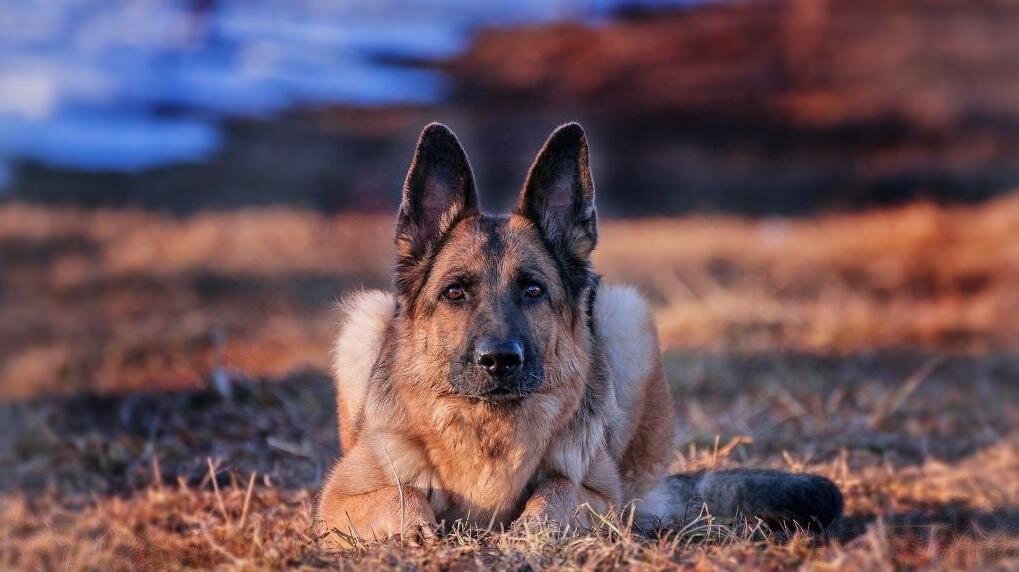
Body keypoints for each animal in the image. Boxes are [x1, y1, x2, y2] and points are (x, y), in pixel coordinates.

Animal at [313, 121, 839, 542]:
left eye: (533, 290)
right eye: (455, 292)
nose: (499, 360)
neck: (489, 428)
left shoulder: (598, 495)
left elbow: (556, 494)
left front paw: (526, 534)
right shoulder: (338, 499)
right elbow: (400, 498)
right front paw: (418, 532)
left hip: (627, 316)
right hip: (363, 319)